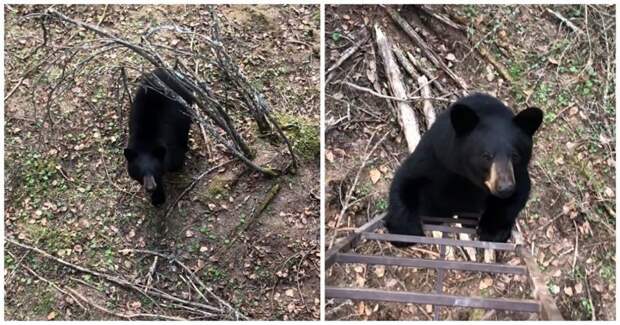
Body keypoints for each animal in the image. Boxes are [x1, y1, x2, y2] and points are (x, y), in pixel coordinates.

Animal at [123, 67, 194, 205]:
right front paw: (157, 198)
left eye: (154, 170)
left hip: (185, 106)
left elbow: (173, 158)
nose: (150, 187)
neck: (145, 141)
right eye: (140, 172)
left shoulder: (170, 139)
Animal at [388, 92, 544, 243]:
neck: (469, 179)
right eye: (486, 156)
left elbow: (519, 193)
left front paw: (493, 231)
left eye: (515, 155)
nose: (505, 188)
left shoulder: (518, 173)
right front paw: (405, 232)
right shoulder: (437, 156)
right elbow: (407, 179)